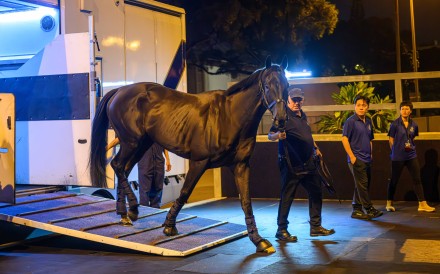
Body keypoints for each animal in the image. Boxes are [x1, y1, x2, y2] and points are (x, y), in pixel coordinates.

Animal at [89, 56, 288, 254]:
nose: (281, 120)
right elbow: (185, 192)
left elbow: (246, 202)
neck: (229, 117)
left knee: (123, 169)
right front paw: (169, 226)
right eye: (268, 86)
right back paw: (133, 210)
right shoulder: (199, 162)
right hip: (131, 142)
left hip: (140, 145)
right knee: (117, 165)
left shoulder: (241, 165)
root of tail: (119, 91)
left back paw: (124, 214)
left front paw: (258, 240)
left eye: (286, 85)